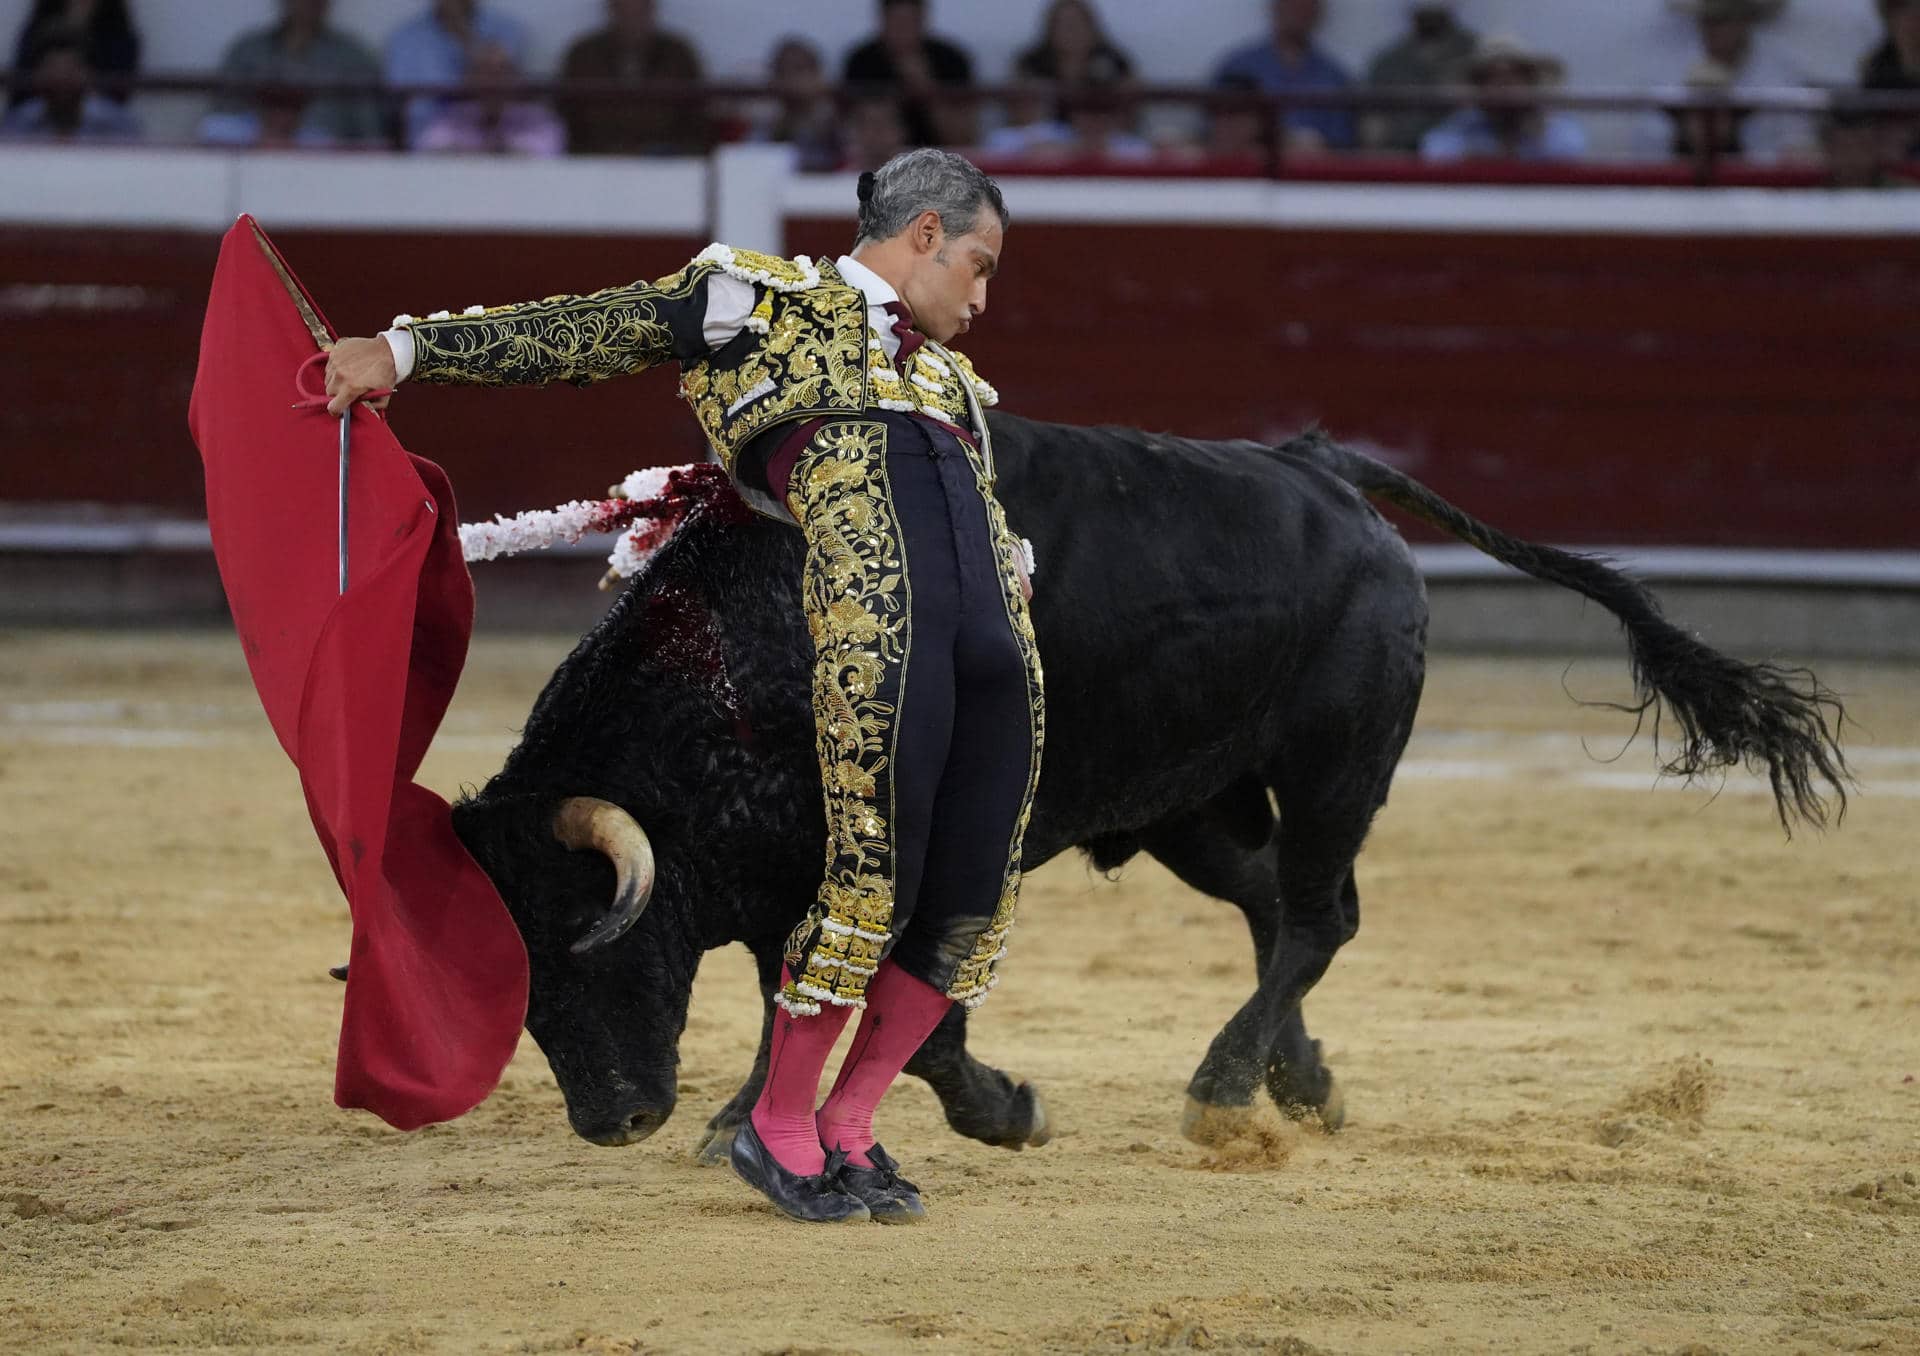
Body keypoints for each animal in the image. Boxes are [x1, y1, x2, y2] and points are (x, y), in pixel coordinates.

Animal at [445, 411, 1843, 1152]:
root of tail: (1321, 468)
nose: (610, 1119)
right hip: (1192, 802)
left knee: (1322, 914)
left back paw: (1225, 1090)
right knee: (1279, 910)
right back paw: (1298, 1080)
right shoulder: (806, 867)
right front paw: (747, 1116)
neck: (747, 654)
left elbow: (913, 1005)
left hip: (1336, 768)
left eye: (579, 944)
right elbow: (796, 982)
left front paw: (1001, 1109)